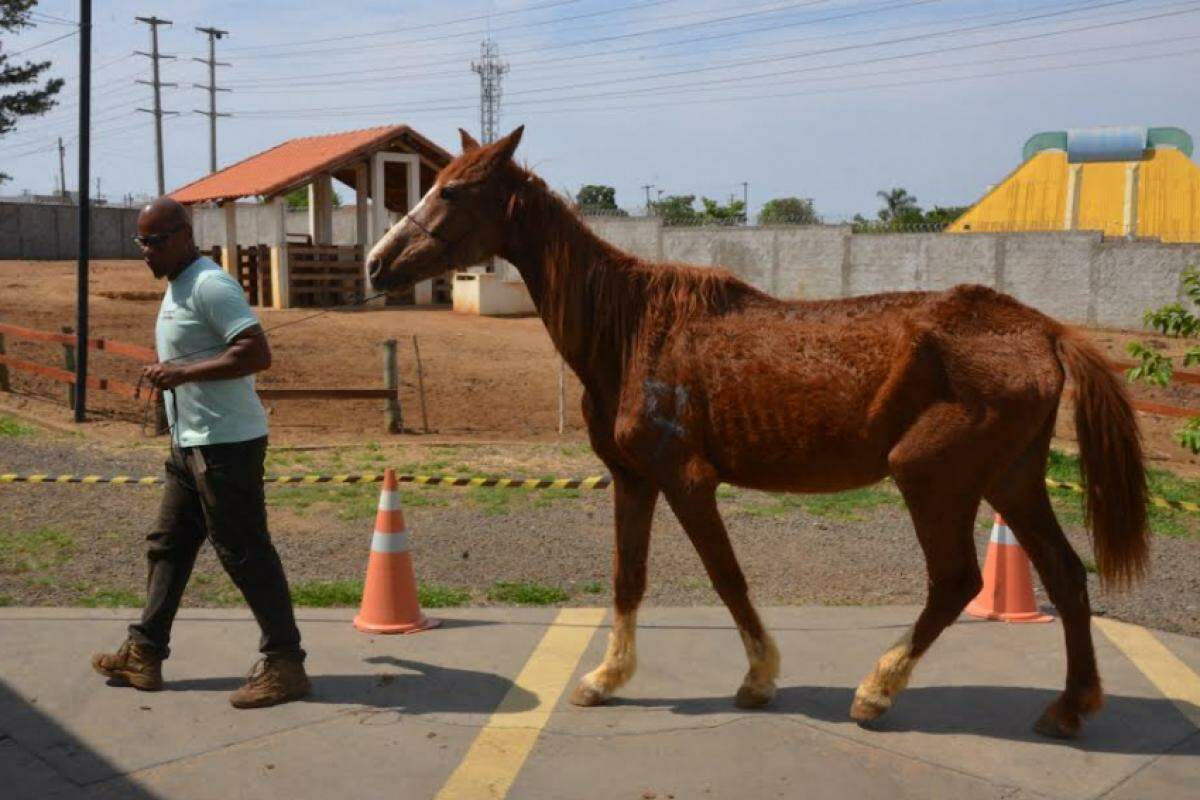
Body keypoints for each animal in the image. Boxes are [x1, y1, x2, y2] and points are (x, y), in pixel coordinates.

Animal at [367, 128, 1152, 743]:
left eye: (455, 192)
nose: (377, 263)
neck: (631, 328)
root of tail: (1041, 328)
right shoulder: (633, 480)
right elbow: (628, 577)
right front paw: (605, 676)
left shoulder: (687, 482)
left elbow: (727, 577)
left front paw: (759, 677)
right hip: (1012, 481)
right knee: (1066, 576)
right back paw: (1069, 707)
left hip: (934, 479)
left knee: (957, 582)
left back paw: (876, 691)